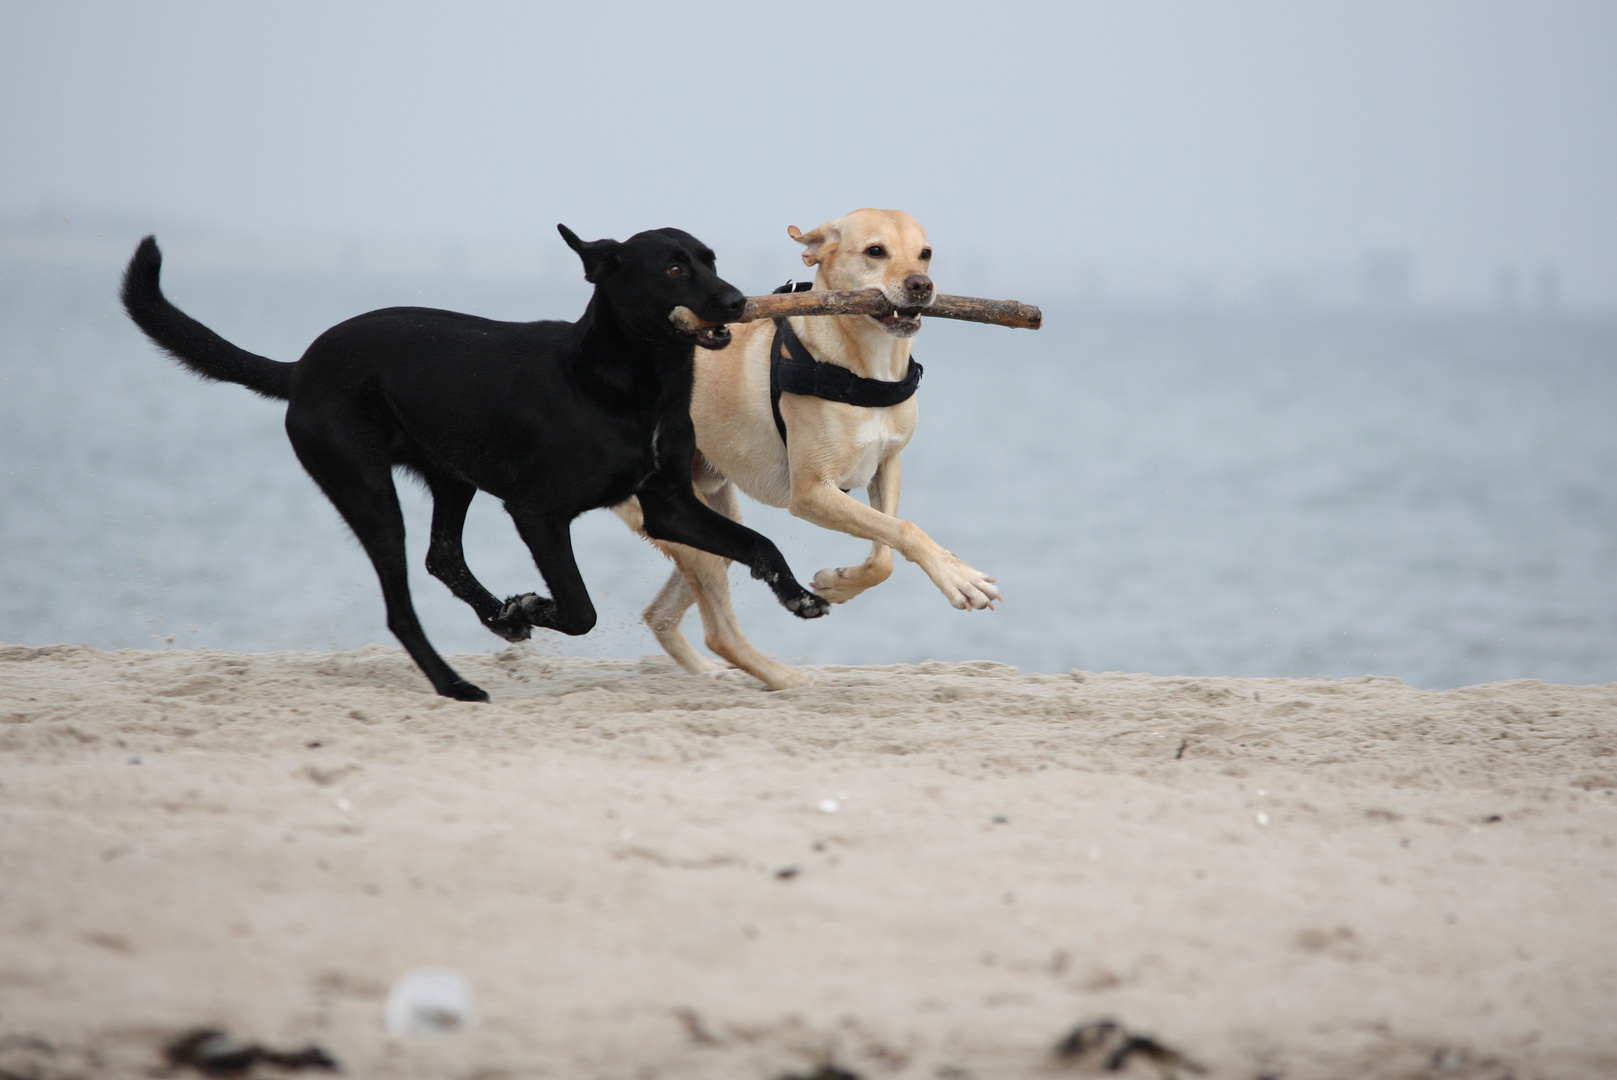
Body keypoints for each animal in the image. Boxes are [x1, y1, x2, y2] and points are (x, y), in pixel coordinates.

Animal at [122, 226, 834, 701]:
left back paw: (495, 616)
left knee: (442, 557)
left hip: (450, 476)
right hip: (367, 490)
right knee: (401, 603)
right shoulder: (539, 513)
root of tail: (301, 369)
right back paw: (456, 680)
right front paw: (530, 605)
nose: (737, 300)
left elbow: (758, 541)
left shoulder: (669, 504)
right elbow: (579, 609)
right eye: (673, 269)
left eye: (710, 260)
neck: (625, 385)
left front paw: (798, 595)